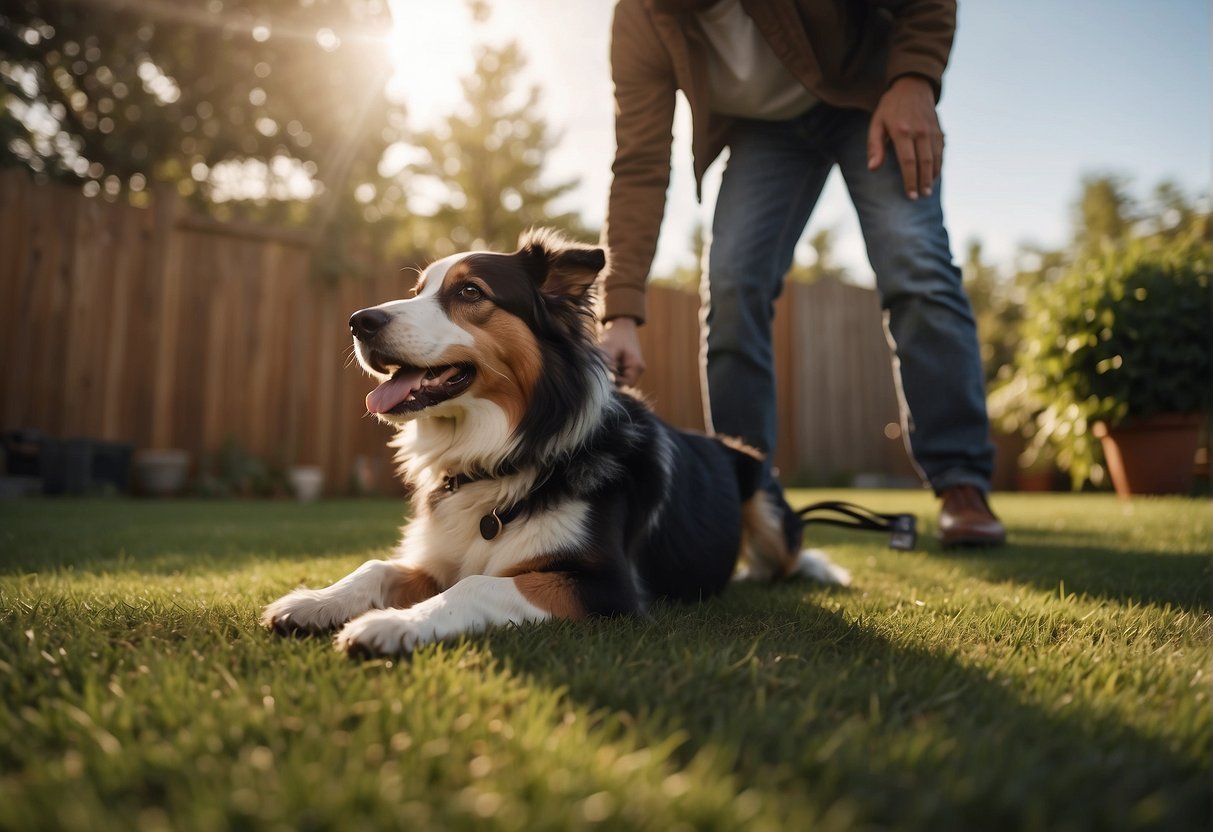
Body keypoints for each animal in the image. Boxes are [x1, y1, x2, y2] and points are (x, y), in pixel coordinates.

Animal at [260, 229, 849, 659]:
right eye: (417, 292)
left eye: (469, 293)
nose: (359, 322)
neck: (503, 455)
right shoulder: (437, 557)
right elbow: (376, 567)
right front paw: (313, 602)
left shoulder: (608, 587)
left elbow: (474, 585)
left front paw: (388, 625)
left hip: (764, 502)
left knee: (787, 557)